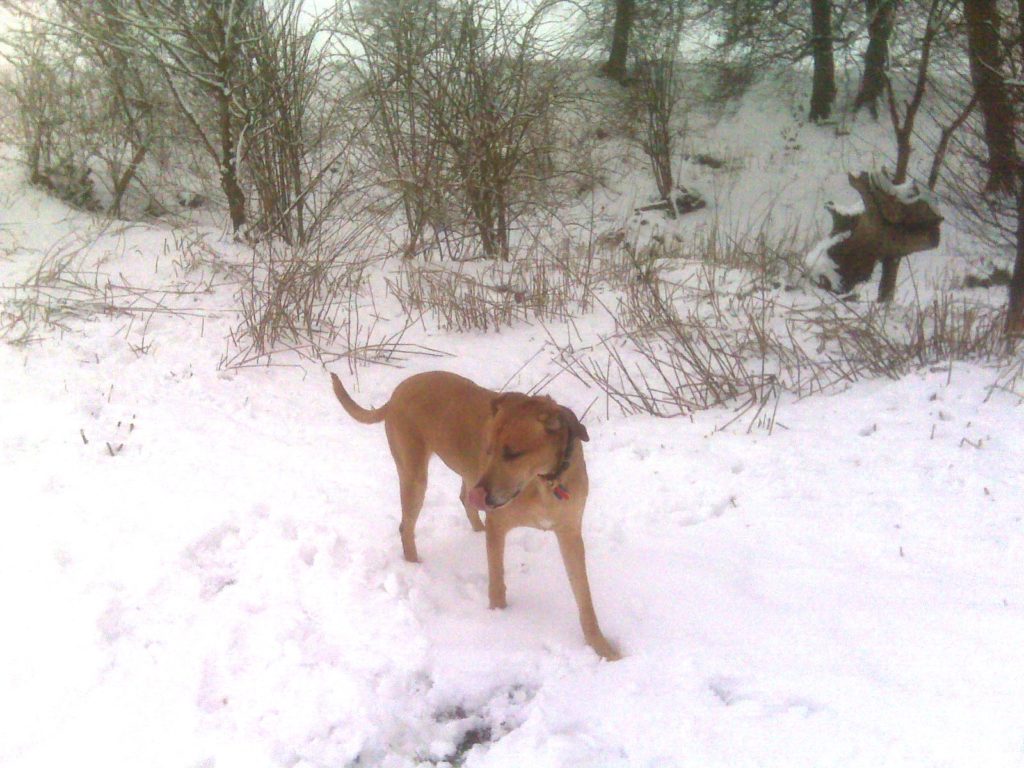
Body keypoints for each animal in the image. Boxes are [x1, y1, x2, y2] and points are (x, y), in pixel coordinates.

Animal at [329, 372, 614, 663]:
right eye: (489, 449)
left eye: (513, 453)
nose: (483, 496)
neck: (545, 482)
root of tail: (398, 392)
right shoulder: (499, 525)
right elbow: (497, 584)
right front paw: (500, 621)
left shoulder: (570, 534)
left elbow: (584, 597)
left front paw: (602, 647)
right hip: (414, 475)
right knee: (407, 526)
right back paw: (415, 564)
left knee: (464, 499)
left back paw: (476, 528)